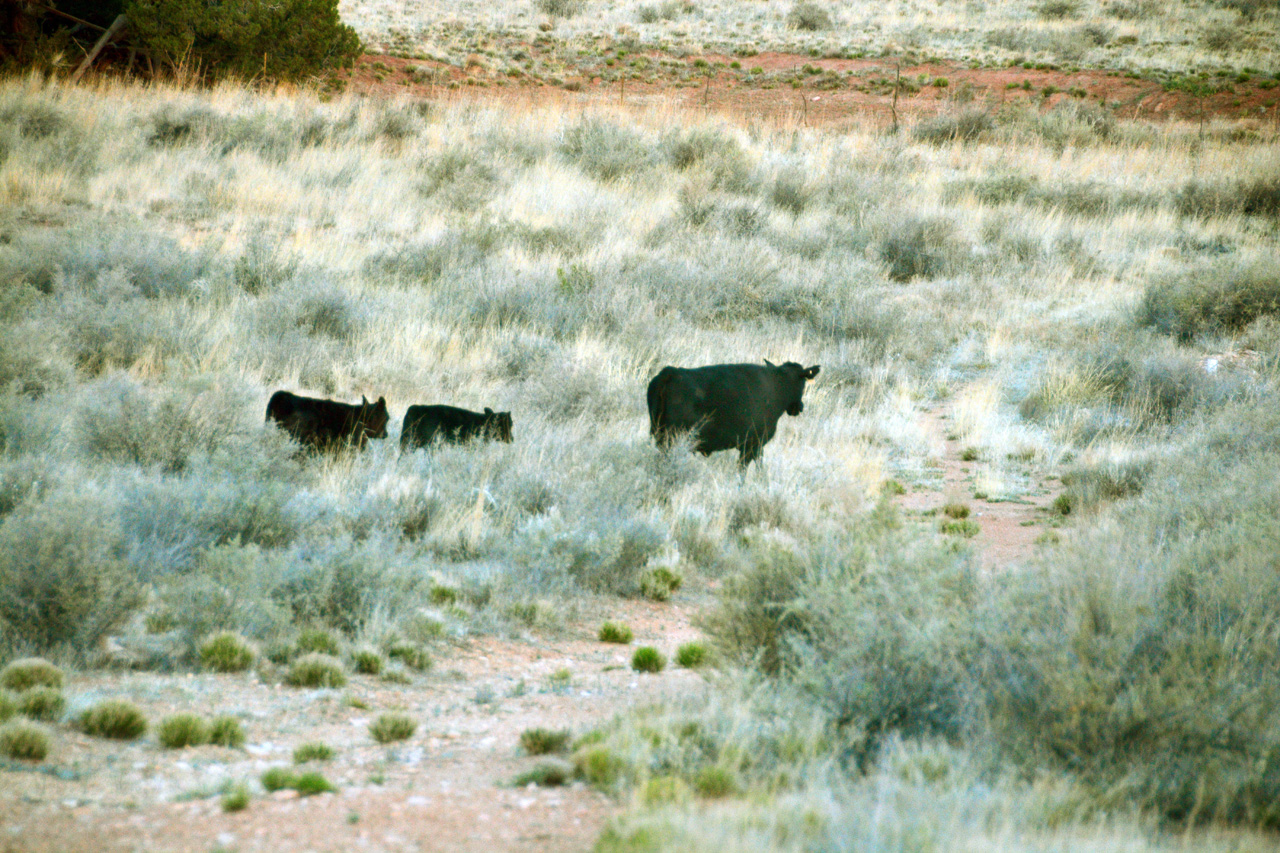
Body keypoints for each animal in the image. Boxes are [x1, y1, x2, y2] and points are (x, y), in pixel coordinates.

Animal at [650, 358, 819, 466]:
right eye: (803, 381)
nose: (799, 407)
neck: (777, 386)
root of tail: (670, 372)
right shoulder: (753, 445)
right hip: (673, 438)